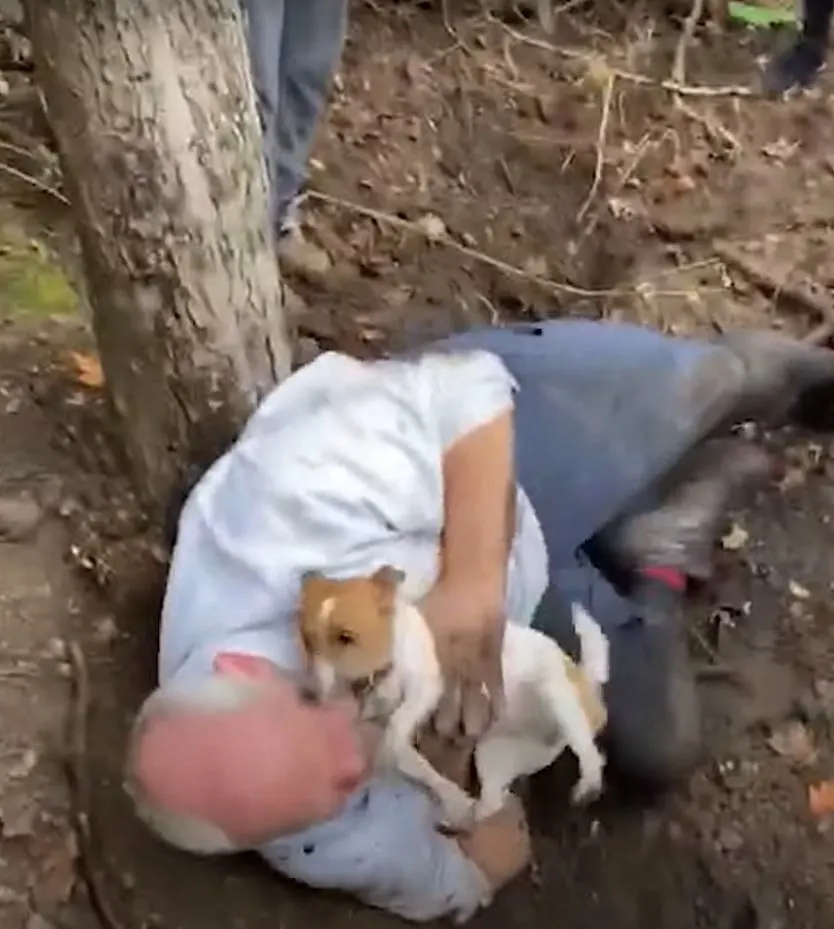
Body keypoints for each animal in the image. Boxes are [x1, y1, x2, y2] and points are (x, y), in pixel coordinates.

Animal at [296, 560, 608, 832]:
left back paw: (588, 783)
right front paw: (454, 800)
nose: (309, 694)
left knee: (590, 752)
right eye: (307, 640)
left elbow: (399, 723)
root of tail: (584, 678)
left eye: (346, 638)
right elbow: (422, 768)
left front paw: (387, 747)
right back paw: (465, 819)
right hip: (493, 753)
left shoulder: (426, 686)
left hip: (558, 695)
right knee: (494, 801)